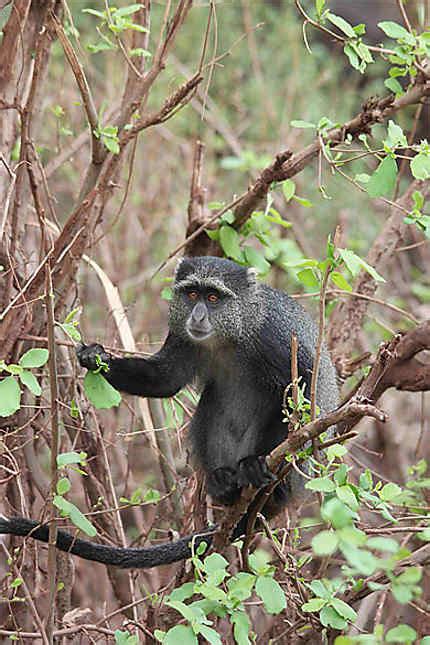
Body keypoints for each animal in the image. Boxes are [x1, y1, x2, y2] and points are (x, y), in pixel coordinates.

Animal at [0, 256, 340, 568]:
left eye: (213, 298)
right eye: (191, 294)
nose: (198, 316)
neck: (234, 332)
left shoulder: (275, 339)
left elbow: (302, 395)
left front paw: (258, 461)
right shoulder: (181, 334)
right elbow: (165, 379)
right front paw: (96, 358)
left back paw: (261, 480)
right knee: (211, 400)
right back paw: (223, 484)